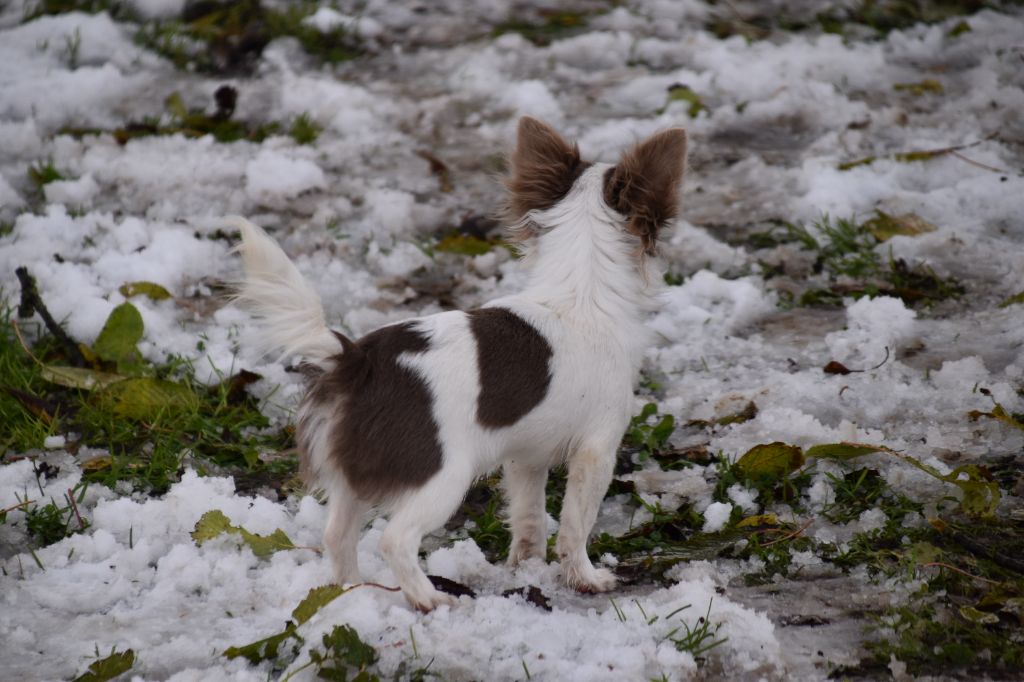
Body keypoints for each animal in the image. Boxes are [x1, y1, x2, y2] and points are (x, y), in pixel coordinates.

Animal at [232, 118, 688, 610]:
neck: (579, 293)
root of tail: (357, 360)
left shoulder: (526, 457)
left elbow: (529, 517)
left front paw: (526, 566)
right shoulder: (597, 449)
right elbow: (575, 523)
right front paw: (585, 577)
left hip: (355, 473)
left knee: (338, 536)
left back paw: (353, 594)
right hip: (443, 476)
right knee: (395, 539)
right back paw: (430, 600)